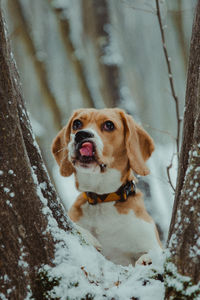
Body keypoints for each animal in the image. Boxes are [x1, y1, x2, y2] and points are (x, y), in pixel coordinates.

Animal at [52, 108, 162, 264]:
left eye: (109, 125)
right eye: (76, 123)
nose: (82, 134)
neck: (102, 199)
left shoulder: (151, 242)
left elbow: (156, 253)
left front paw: (147, 259)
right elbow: (75, 226)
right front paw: (90, 237)